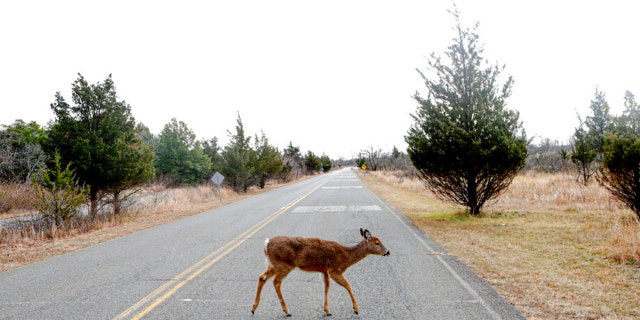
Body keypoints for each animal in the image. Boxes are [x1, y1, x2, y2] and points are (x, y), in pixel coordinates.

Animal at [250, 229, 390, 316]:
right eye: (377, 243)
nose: (388, 252)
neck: (346, 257)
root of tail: (266, 244)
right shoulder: (334, 270)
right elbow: (348, 285)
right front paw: (356, 309)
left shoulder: (324, 270)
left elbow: (326, 287)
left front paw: (327, 310)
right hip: (284, 265)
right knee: (276, 282)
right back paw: (287, 311)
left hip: (274, 264)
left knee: (262, 277)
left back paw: (253, 308)